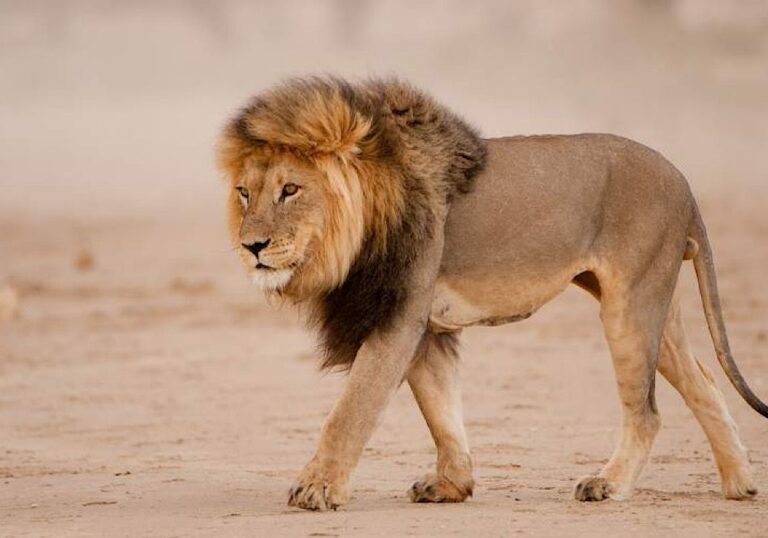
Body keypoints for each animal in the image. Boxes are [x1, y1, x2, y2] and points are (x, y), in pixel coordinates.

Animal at [215, 76, 768, 511]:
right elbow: (441, 411)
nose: (251, 246)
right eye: (245, 193)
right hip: (655, 303)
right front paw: (451, 485)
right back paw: (740, 483)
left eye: (290, 190)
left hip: (629, 305)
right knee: (704, 384)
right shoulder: (424, 326)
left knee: (647, 412)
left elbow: (352, 410)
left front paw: (317, 488)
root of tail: (684, 183)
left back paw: (608, 484)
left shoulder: (398, 318)